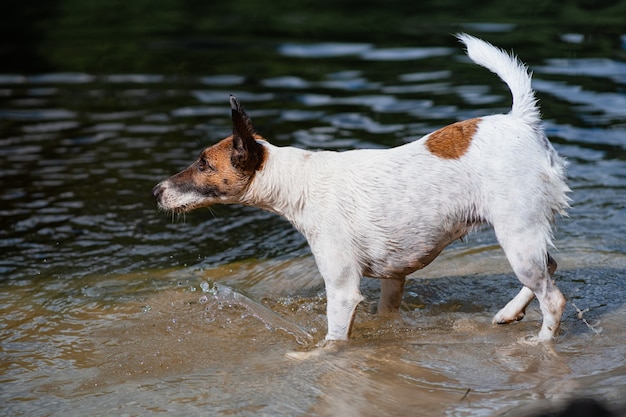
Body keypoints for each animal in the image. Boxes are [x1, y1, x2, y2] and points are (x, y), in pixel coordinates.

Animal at [154, 35, 568, 342]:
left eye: (203, 164)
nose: (157, 191)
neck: (297, 181)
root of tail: (521, 120)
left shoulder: (341, 289)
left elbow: (334, 340)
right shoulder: (393, 277)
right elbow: (386, 313)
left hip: (517, 238)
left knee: (554, 299)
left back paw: (540, 343)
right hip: (527, 240)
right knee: (550, 266)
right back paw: (510, 313)